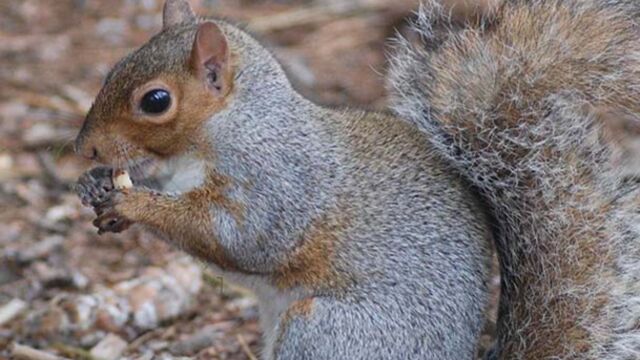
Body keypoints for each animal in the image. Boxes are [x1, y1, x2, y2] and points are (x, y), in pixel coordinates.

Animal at [76, 1, 496, 358]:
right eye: (114, 70)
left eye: (156, 101)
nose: (84, 148)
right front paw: (93, 183)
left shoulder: (274, 180)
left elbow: (238, 235)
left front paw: (133, 203)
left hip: (326, 331)